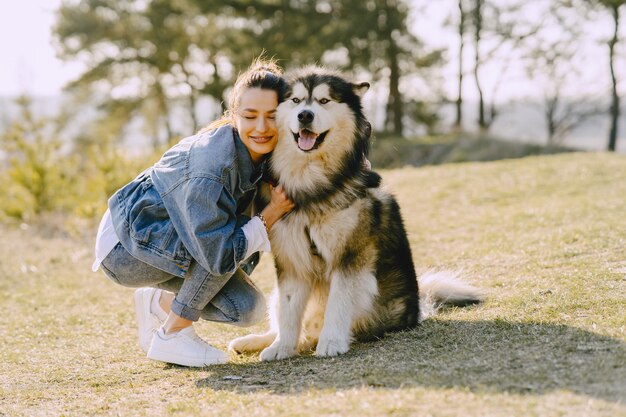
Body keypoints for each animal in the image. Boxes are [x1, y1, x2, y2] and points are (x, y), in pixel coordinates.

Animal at [229, 66, 482, 360]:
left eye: (324, 101)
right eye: (296, 100)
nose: (305, 115)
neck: (311, 185)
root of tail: (418, 307)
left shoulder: (350, 256)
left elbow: (338, 302)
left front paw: (331, 342)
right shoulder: (292, 259)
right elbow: (289, 310)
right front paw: (282, 347)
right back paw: (255, 341)